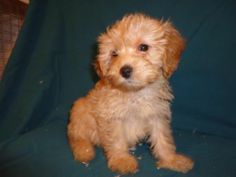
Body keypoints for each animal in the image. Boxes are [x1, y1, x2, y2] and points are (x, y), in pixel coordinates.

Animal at [68, 13, 194, 174]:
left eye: (143, 47)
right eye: (114, 54)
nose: (125, 70)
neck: (135, 93)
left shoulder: (157, 114)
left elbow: (162, 139)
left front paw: (171, 159)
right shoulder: (112, 116)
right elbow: (116, 140)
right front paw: (122, 160)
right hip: (79, 110)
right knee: (76, 136)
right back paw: (84, 151)